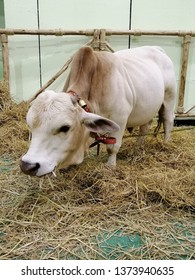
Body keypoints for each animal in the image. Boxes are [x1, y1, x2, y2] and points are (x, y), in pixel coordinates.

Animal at [20, 46, 177, 176]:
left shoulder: (120, 119)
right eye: (30, 126)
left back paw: (166, 143)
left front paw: (110, 166)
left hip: (169, 99)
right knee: (145, 127)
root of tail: (158, 49)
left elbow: (112, 147)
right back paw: (136, 149)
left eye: (65, 127)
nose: (27, 166)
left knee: (168, 120)